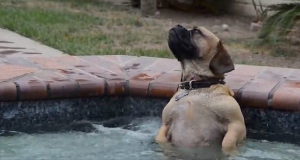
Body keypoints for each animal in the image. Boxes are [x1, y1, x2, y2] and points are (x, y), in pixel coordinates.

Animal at [155, 24, 246, 156]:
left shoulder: (236, 124)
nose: (177, 25)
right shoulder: (165, 123)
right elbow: (160, 138)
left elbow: (227, 143)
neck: (196, 87)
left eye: (196, 31)